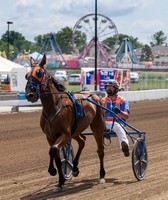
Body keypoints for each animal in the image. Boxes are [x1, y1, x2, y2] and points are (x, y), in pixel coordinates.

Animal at [25, 54, 105, 191]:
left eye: (39, 73)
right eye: (26, 75)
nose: (29, 94)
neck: (53, 107)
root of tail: (94, 95)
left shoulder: (65, 134)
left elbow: (52, 150)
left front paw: (52, 170)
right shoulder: (50, 137)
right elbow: (56, 156)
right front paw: (60, 182)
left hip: (97, 128)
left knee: (100, 150)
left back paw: (101, 175)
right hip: (76, 130)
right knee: (82, 140)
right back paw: (75, 168)